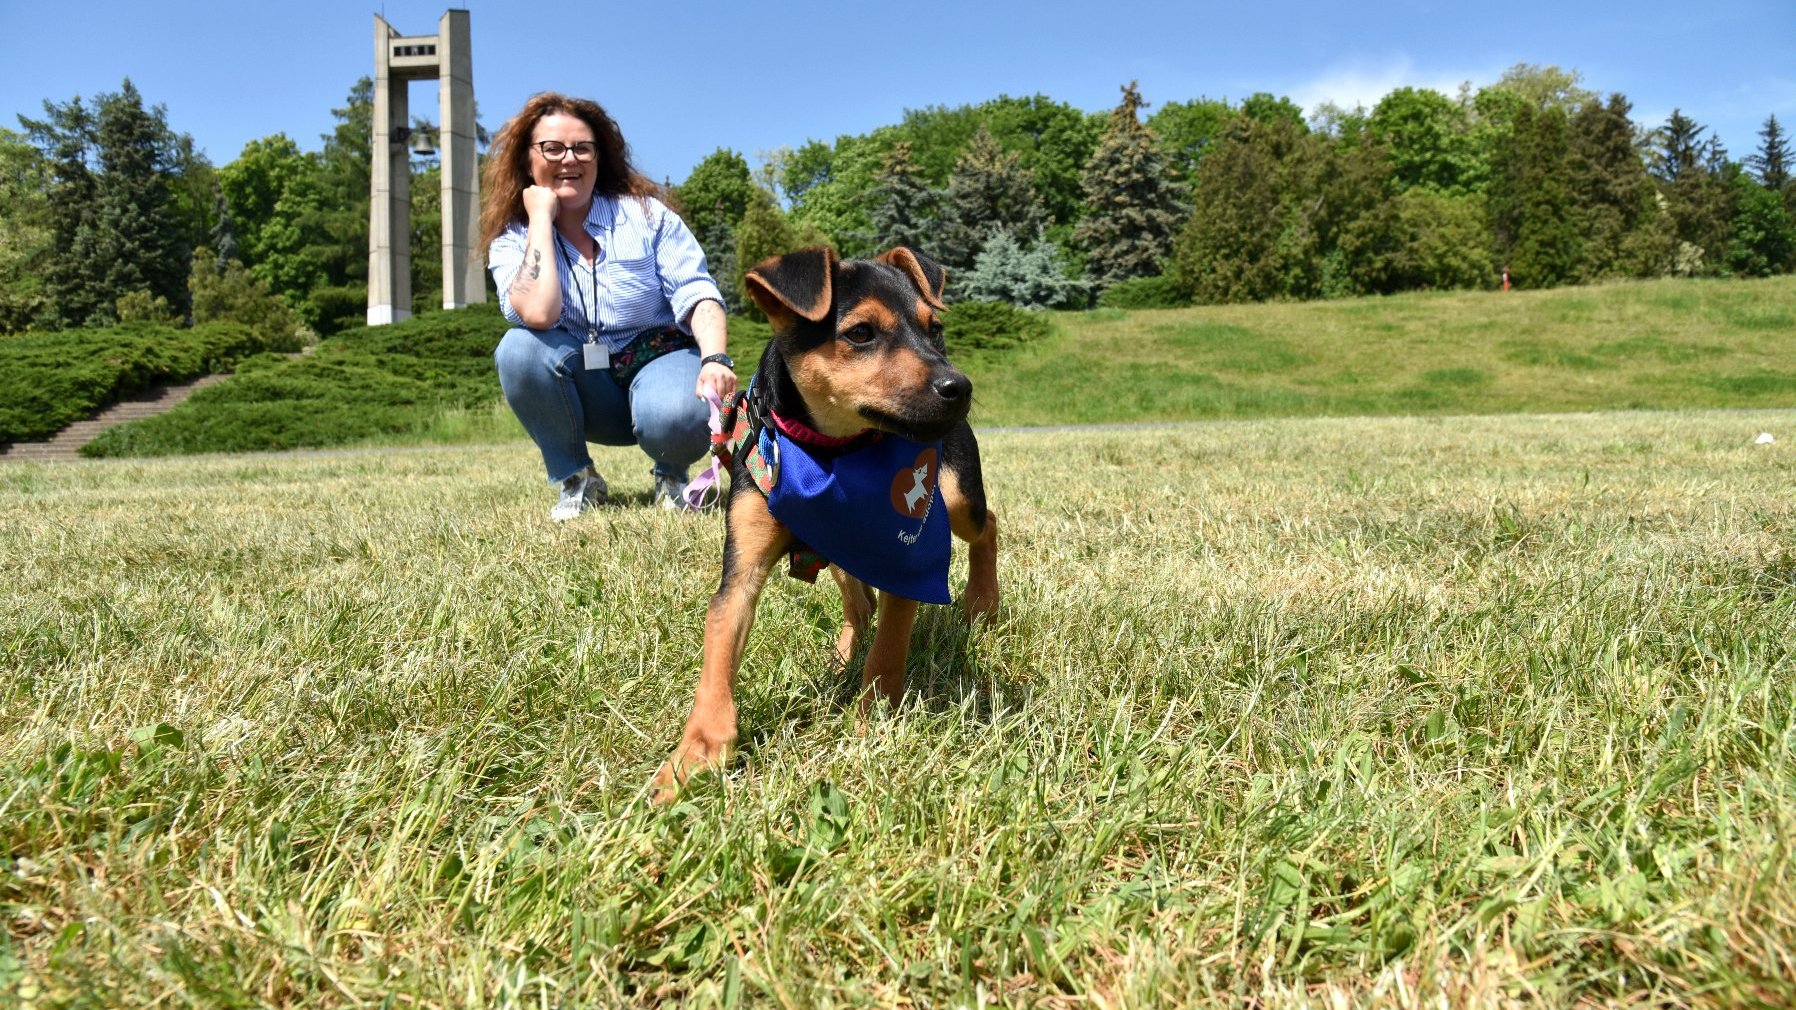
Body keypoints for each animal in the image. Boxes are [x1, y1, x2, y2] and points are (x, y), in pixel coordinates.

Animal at [653, 246, 1005, 801]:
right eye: (860, 333)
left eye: (936, 330)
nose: (960, 386)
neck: (831, 452)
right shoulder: (742, 568)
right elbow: (718, 648)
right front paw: (695, 754)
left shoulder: (903, 555)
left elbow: (887, 653)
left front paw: (871, 724)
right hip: (840, 547)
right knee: (858, 604)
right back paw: (842, 654)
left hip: (953, 498)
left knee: (985, 521)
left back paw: (982, 603)